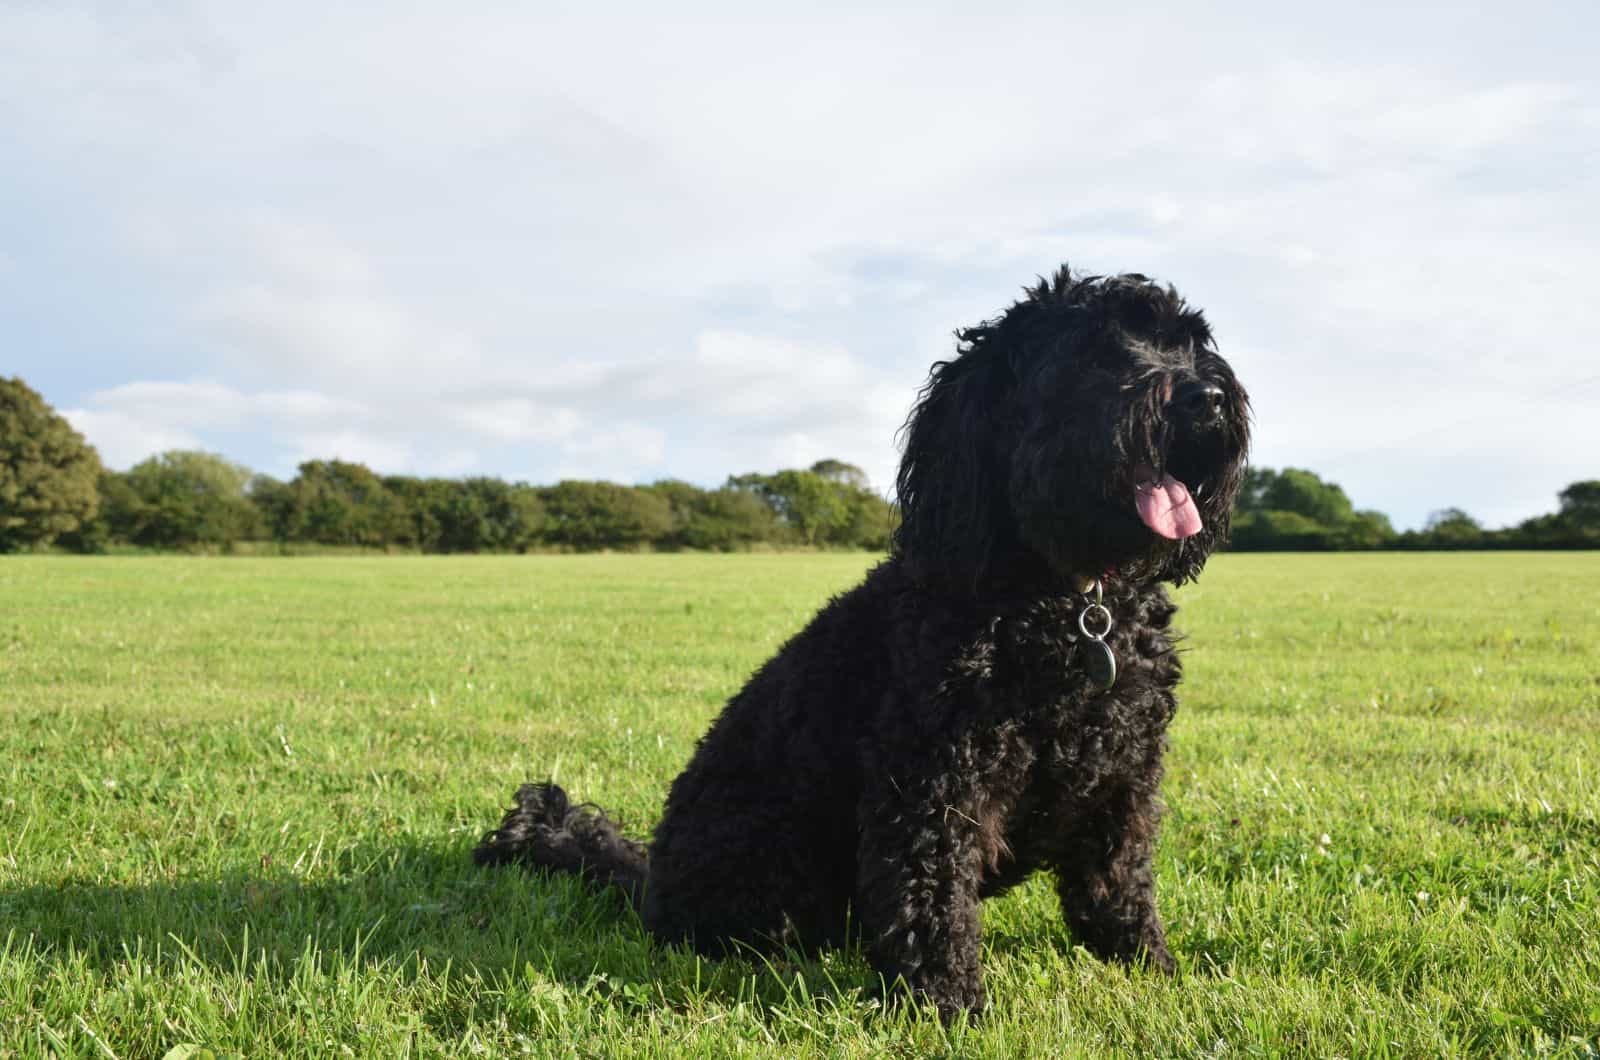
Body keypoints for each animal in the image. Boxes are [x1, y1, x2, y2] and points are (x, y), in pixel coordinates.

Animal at [473, 265, 1248, 1024]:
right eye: (1095, 354)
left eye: (1188, 344)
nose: (1207, 397)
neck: (1073, 603)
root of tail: (650, 886)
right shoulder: (933, 780)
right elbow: (932, 898)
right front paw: (948, 1006)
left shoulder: (1124, 772)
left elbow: (1118, 881)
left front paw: (1149, 969)